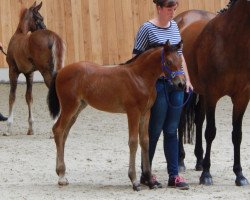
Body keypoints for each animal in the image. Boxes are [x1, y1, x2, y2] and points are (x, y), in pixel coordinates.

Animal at [3, 1, 66, 135]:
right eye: (39, 18)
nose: (44, 27)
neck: (19, 34)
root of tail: (53, 35)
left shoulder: (13, 70)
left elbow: (12, 97)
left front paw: (8, 128)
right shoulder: (29, 74)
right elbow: (29, 98)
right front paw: (31, 128)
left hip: (46, 73)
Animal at [46, 41, 186, 191]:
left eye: (180, 61)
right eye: (169, 61)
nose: (181, 84)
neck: (140, 77)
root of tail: (61, 71)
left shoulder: (145, 113)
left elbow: (145, 141)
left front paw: (150, 181)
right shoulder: (133, 112)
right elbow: (133, 142)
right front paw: (134, 181)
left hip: (78, 108)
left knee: (63, 133)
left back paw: (60, 172)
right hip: (69, 106)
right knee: (58, 130)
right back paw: (61, 176)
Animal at [177, 0, 249, 187]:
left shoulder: (242, 97)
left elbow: (237, 135)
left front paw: (239, 175)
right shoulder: (212, 95)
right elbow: (210, 132)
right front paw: (207, 175)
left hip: (200, 93)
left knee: (198, 119)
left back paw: (199, 161)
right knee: (180, 122)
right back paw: (180, 161)